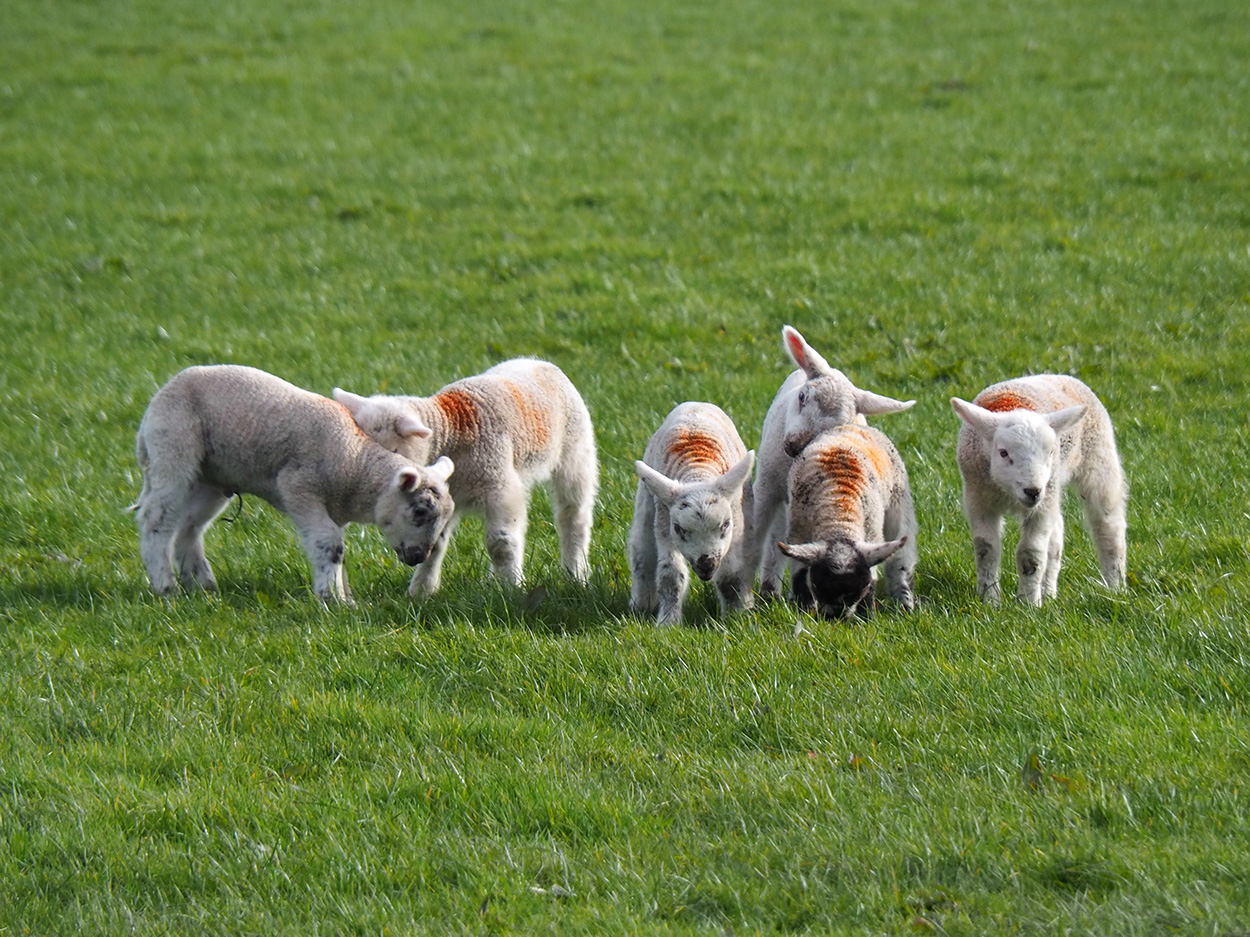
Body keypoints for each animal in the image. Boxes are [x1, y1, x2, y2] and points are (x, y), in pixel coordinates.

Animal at [132, 365, 456, 604]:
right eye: (420, 512)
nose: (418, 557)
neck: (355, 464)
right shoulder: (298, 487)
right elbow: (330, 542)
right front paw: (331, 599)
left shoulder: (333, 506)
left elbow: (334, 548)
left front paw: (344, 595)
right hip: (172, 448)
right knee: (155, 519)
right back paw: (165, 587)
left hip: (211, 478)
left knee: (189, 526)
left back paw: (202, 584)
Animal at [332, 358, 597, 596]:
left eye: (392, 452)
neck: (451, 431)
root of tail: (538, 361)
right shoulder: (443, 495)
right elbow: (434, 542)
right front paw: (421, 592)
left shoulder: (501, 487)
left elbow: (501, 543)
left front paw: (512, 589)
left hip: (576, 453)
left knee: (573, 516)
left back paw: (576, 574)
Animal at [629, 402, 756, 626]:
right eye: (679, 529)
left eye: (725, 525)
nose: (706, 564)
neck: (697, 472)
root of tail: (697, 404)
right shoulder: (665, 523)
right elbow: (670, 574)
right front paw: (668, 623)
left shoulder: (736, 524)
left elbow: (730, 575)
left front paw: (735, 617)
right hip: (647, 499)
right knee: (642, 550)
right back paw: (641, 605)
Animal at [778, 422, 917, 618]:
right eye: (817, 585)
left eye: (862, 587)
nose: (835, 617)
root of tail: (850, 425)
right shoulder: (798, 532)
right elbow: (799, 573)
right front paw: (804, 609)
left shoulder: (872, 534)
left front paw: (867, 617)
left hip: (898, 503)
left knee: (902, 558)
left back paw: (905, 604)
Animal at [950, 374, 1127, 606]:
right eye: (1003, 452)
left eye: (1051, 451)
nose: (1032, 491)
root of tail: (1059, 375)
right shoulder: (978, 499)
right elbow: (985, 549)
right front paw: (990, 600)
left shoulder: (1040, 507)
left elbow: (1030, 553)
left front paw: (1028, 603)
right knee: (1056, 538)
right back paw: (1049, 593)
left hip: (1097, 461)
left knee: (1108, 525)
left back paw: (1115, 588)